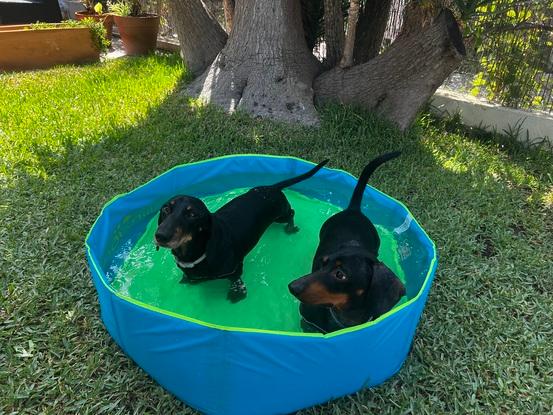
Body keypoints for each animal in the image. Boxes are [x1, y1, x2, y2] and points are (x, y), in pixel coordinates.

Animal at [154, 159, 328, 302]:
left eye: (192, 214)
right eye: (166, 209)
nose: (160, 236)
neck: (195, 254)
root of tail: (271, 188)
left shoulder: (235, 269)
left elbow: (236, 280)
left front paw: (237, 293)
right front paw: (186, 280)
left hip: (280, 214)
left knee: (291, 213)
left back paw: (290, 228)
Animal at [286, 154, 404, 334]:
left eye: (340, 274)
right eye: (323, 263)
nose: (292, 286)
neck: (345, 317)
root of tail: (354, 210)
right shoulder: (306, 323)